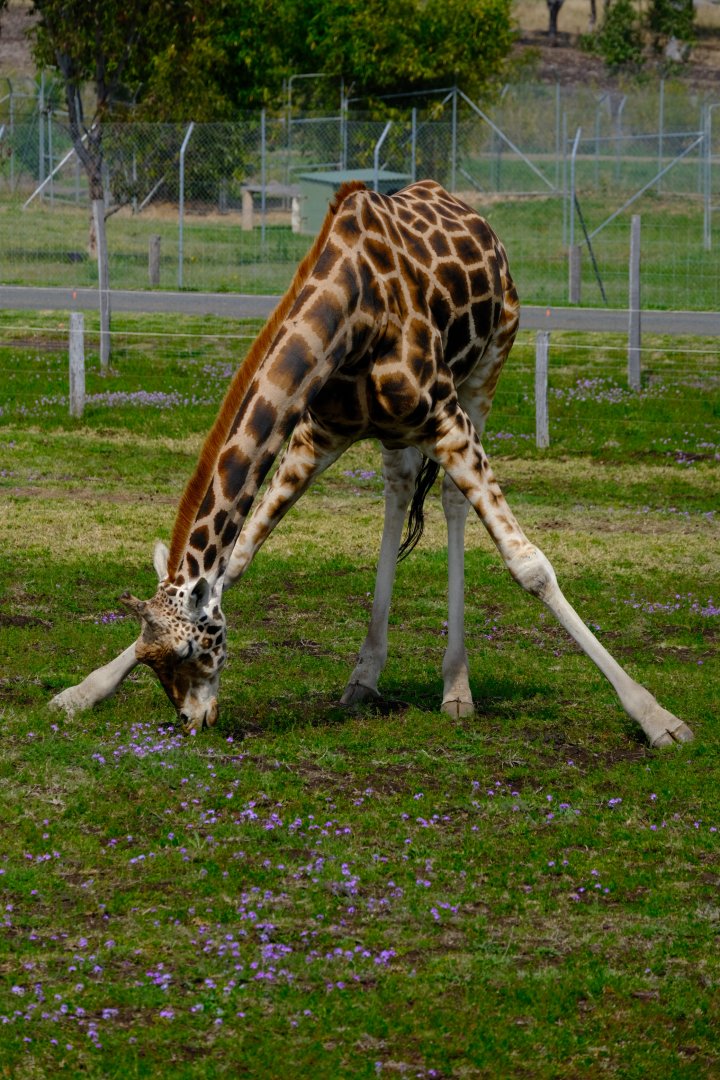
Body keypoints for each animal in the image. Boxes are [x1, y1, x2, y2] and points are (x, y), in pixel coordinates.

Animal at [49, 179, 693, 748]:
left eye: (192, 648)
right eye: (149, 656)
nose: (192, 720)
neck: (352, 311)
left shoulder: (445, 419)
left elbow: (530, 566)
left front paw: (658, 719)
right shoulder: (317, 434)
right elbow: (238, 559)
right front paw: (82, 692)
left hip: (486, 369)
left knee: (452, 500)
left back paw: (457, 689)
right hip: (395, 433)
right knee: (399, 488)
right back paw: (365, 676)